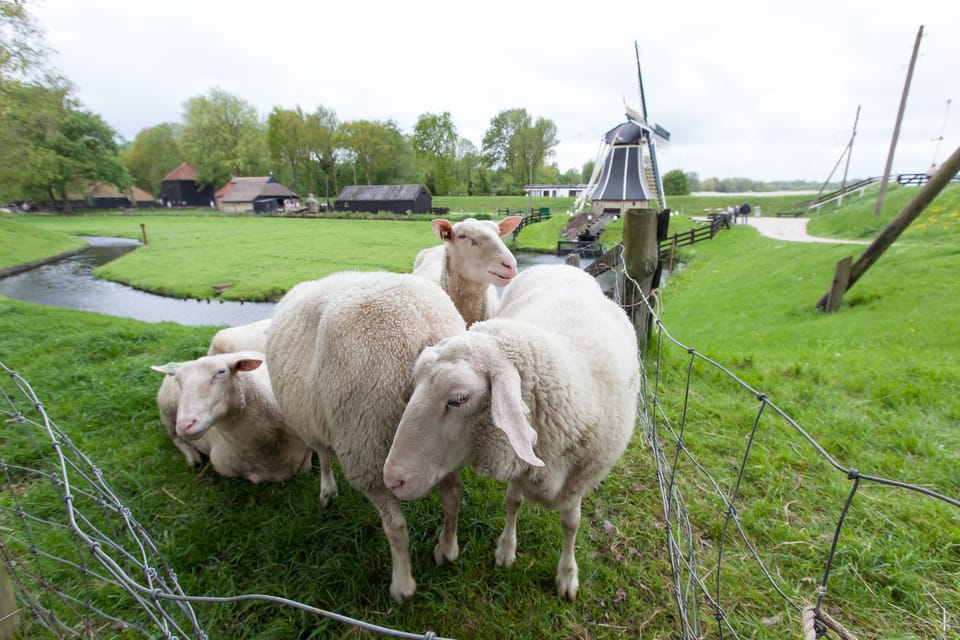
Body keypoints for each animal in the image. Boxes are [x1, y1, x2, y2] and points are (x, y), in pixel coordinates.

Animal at [151, 352, 312, 482]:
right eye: (178, 380)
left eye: (221, 372)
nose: (185, 425)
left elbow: (306, 468)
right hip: (167, 414)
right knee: (176, 439)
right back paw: (193, 459)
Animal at [266, 272, 468, 604]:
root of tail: (422, 328)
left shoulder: (316, 425)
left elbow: (323, 457)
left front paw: (326, 493)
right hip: (443, 444)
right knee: (452, 495)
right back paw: (447, 550)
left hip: (367, 445)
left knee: (395, 525)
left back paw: (402, 586)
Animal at [380, 262, 636, 604]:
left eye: (459, 398)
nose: (392, 479)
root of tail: (557, 264)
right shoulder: (520, 462)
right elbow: (513, 501)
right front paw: (505, 550)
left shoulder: (580, 480)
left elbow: (571, 524)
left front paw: (567, 576)